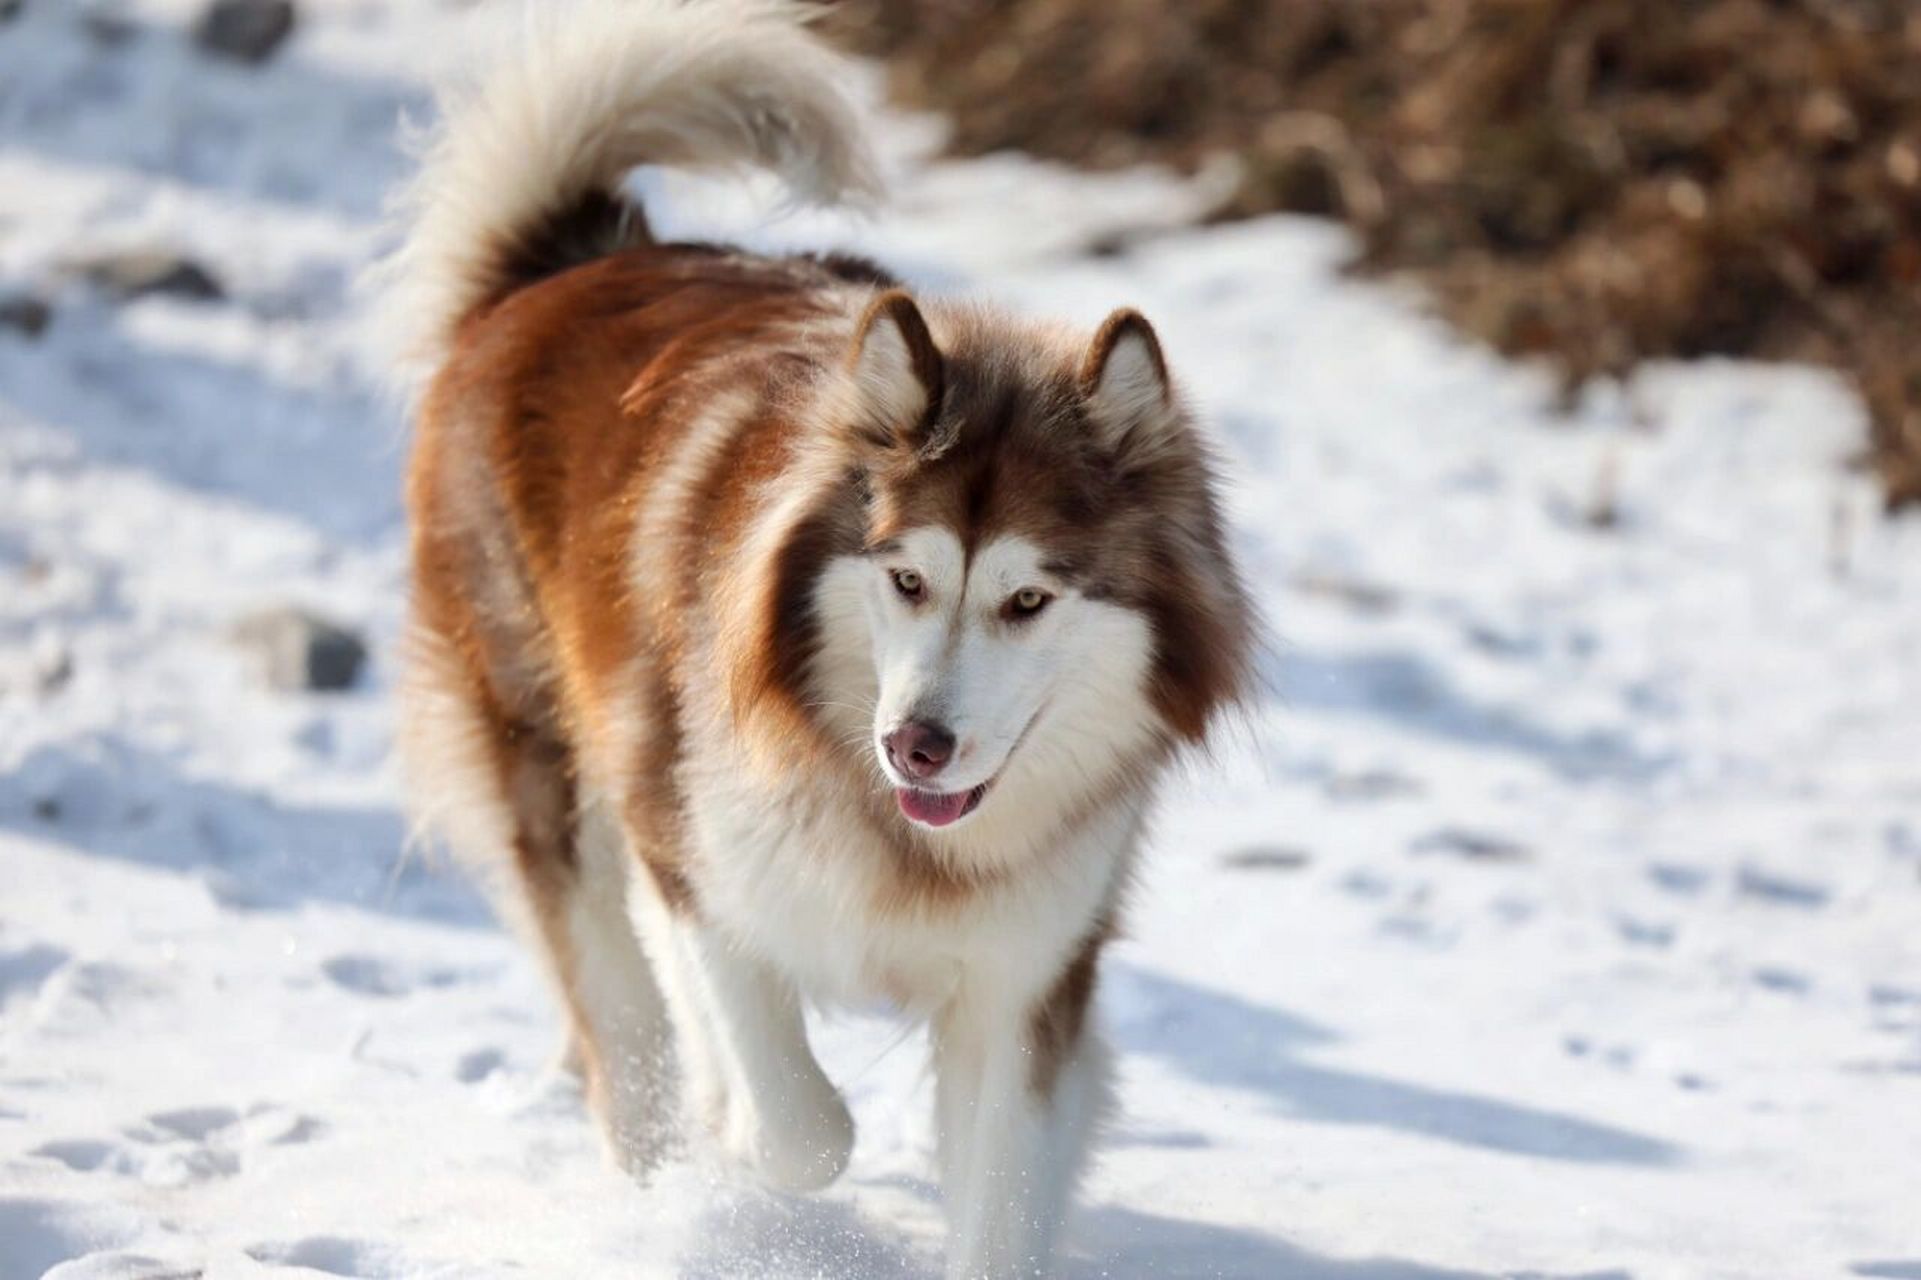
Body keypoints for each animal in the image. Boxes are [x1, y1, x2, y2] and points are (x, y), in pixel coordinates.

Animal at [380, 4, 1252, 1268]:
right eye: (905, 578)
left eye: (1027, 601)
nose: (916, 746)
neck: (899, 834)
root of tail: (571, 264)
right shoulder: (696, 855)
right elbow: (803, 1126)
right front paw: (748, 1150)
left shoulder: (1022, 983)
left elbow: (1000, 1191)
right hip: (546, 750)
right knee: (620, 1011)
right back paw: (662, 1167)